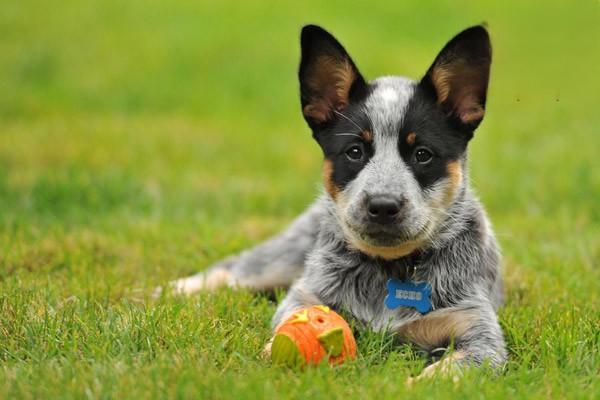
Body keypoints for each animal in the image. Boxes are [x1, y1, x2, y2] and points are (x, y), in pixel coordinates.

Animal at [168, 24, 506, 378]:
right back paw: (175, 289)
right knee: (234, 269)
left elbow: (451, 369)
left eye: (422, 154)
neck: (388, 271)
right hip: (284, 257)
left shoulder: (477, 330)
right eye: (355, 151)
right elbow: (282, 333)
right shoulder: (305, 295)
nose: (382, 205)